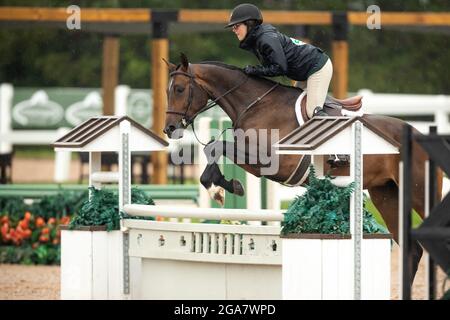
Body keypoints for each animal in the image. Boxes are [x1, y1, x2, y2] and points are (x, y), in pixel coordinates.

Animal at [162, 53, 442, 284]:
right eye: (167, 91)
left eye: (179, 89)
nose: (169, 129)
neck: (256, 104)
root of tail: (420, 133)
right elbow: (214, 147)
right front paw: (224, 186)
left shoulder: (272, 160)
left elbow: (217, 146)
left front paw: (221, 189)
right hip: (386, 195)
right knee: (412, 250)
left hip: (420, 193)